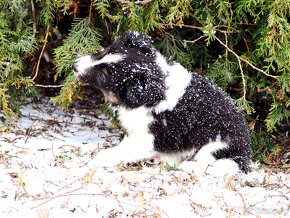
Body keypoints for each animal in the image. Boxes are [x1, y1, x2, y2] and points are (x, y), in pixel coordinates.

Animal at [72, 31, 251, 176]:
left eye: (104, 75)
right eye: (104, 52)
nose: (74, 65)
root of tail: (246, 153)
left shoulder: (152, 136)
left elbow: (126, 147)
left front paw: (103, 158)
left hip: (216, 145)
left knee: (208, 163)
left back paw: (188, 166)